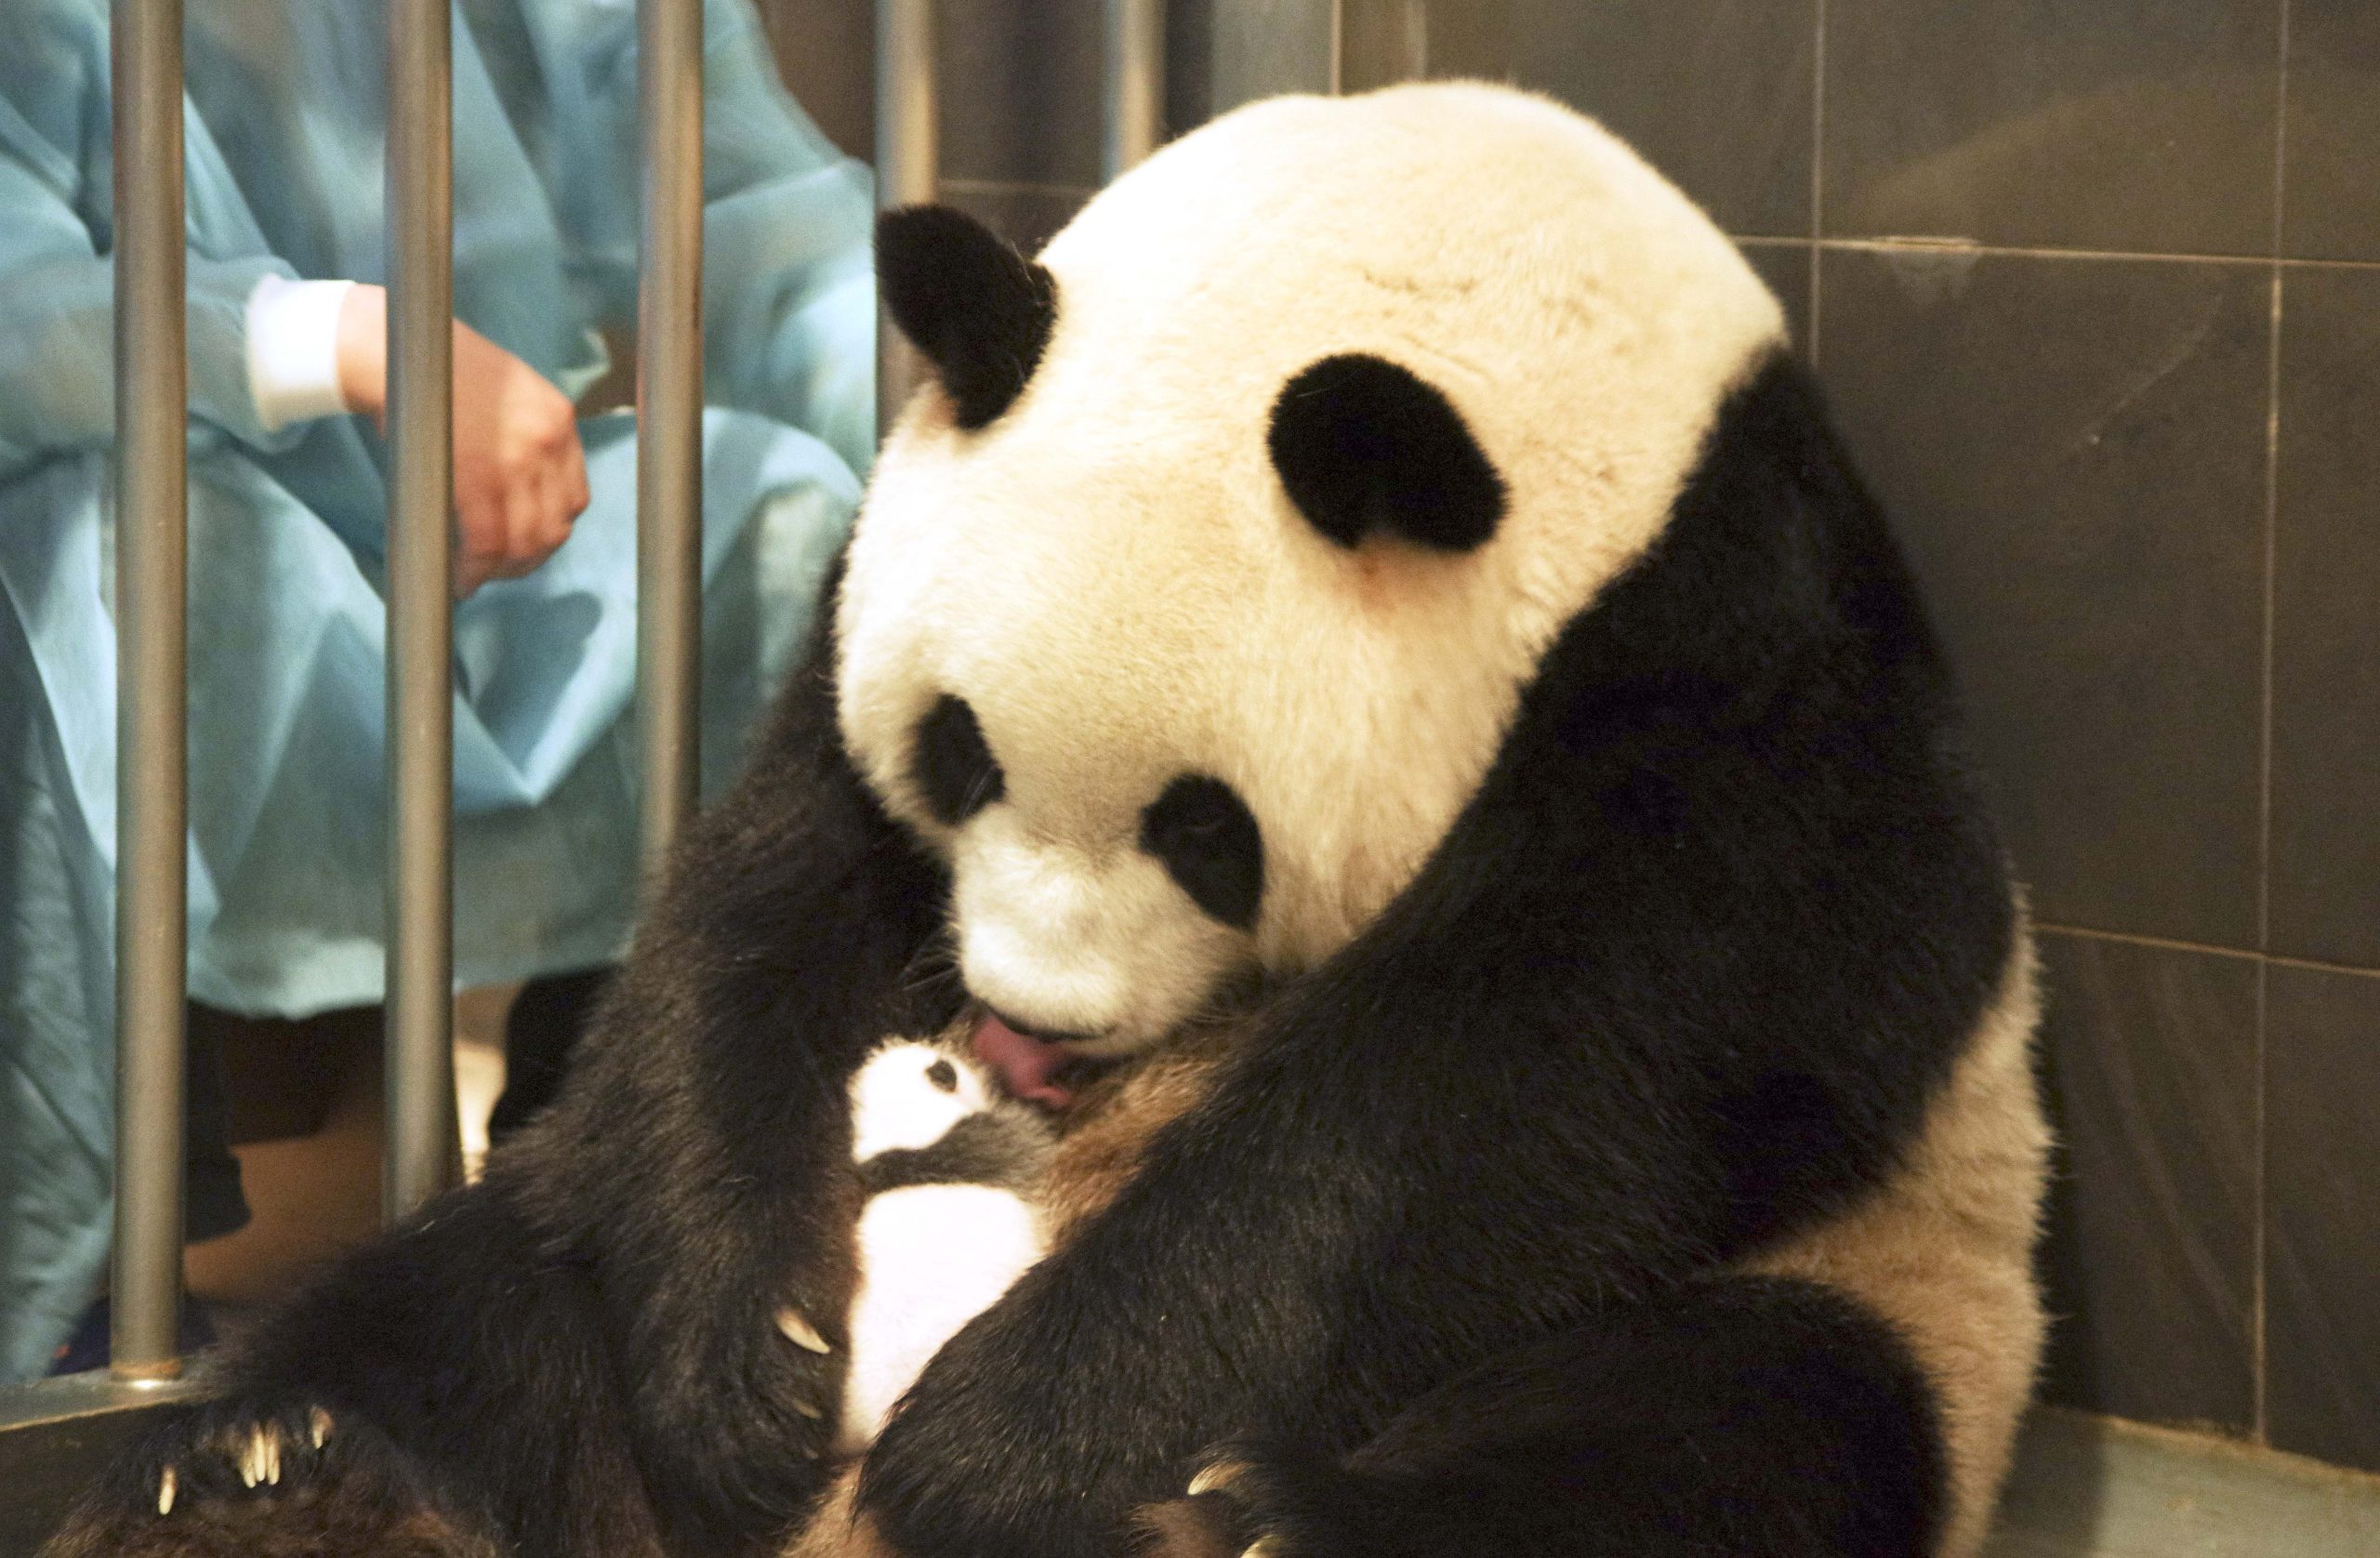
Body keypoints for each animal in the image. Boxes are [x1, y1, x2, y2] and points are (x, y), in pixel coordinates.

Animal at [44, 81, 2048, 1558]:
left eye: (1208, 832)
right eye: (960, 757)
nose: (1023, 1026)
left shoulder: (1739, 673)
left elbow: (1547, 1061)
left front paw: (1020, 1441)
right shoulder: (870, 590)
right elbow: (761, 907)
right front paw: (749, 1363)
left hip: (1882, 1273)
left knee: (1717, 1429)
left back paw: (1259, 1520)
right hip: (552, 1226)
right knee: (485, 1298)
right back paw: (268, 1466)